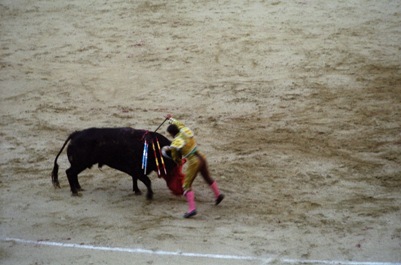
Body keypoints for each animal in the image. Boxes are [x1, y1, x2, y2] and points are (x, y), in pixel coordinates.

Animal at [50, 126, 184, 198]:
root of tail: (75, 134)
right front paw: (149, 195)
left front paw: (137, 191)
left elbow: (135, 179)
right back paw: (75, 192)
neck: (152, 147)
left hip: (80, 164)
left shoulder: (135, 170)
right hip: (80, 163)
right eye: (172, 162)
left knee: (73, 174)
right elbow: (147, 181)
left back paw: (79, 188)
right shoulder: (137, 170)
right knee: (70, 172)